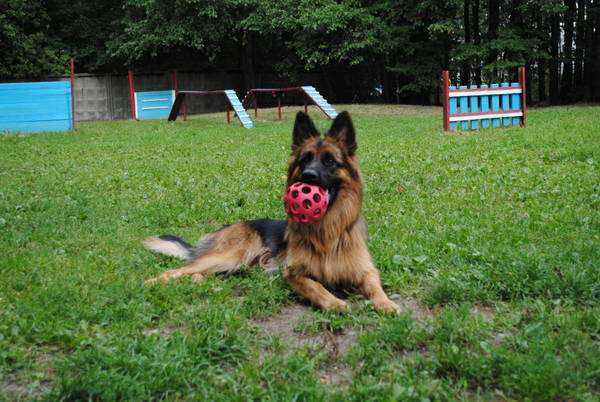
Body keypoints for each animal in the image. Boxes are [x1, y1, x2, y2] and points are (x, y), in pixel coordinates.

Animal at [143, 110, 400, 314]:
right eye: (305, 160)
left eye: (330, 161)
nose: (308, 176)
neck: (326, 231)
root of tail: (229, 226)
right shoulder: (294, 274)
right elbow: (316, 287)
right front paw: (335, 303)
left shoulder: (365, 270)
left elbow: (375, 286)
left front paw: (386, 303)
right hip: (231, 255)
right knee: (175, 270)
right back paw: (151, 282)